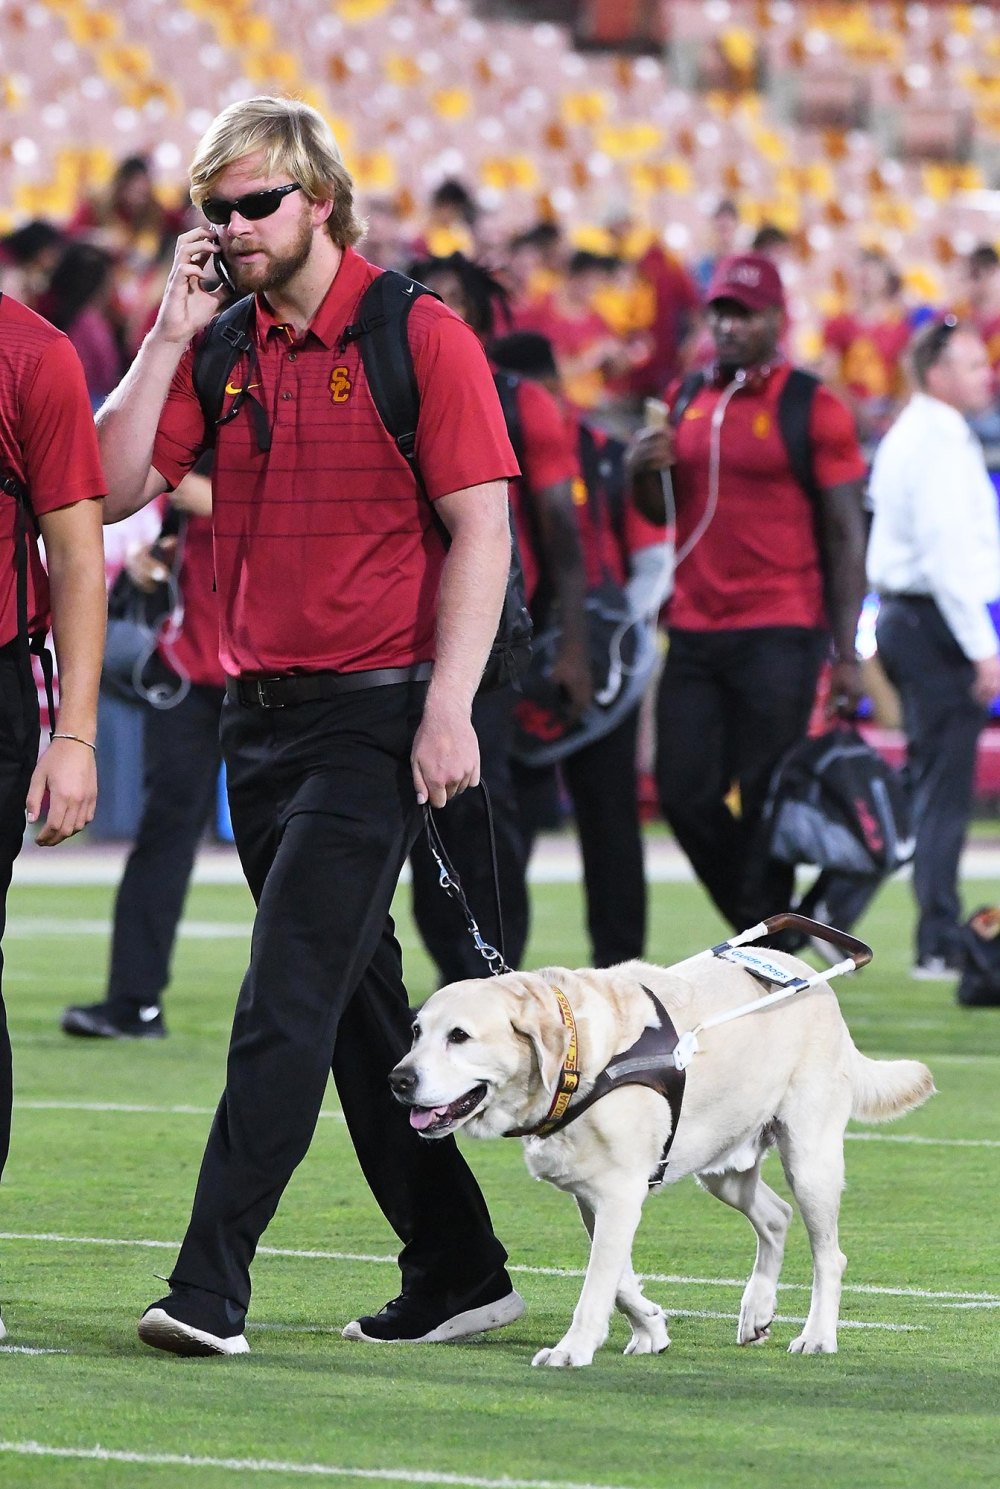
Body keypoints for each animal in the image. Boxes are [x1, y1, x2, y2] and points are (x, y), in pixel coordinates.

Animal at [386, 958, 934, 1363]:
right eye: (415, 1031)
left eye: (459, 1036)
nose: (398, 1080)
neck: (578, 1057)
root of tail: (812, 978)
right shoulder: (594, 1195)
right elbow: (619, 1279)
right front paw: (651, 1328)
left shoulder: (619, 1192)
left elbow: (598, 1282)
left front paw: (573, 1350)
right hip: (723, 1164)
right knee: (776, 1216)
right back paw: (757, 1310)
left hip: (809, 1156)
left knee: (828, 1255)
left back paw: (818, 1336)